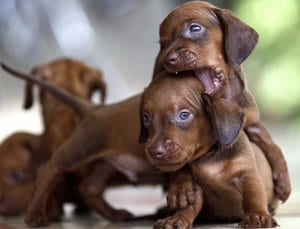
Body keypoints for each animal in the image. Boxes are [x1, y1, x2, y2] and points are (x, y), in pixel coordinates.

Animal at [1, 63, 168, 227]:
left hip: (105, 164)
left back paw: (114, 214)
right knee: (48, 171)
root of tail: (93, 109)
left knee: (89, 188)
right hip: (81, 149)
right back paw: (34, 216)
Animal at [140, 72, 278, 229]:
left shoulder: (247, 175)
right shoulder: (196, 187)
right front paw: (178, 218)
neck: (210, 155)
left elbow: (253, 196)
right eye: (145, 117)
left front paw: (257, 215)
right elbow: (190, 205)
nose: (155, 151)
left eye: (184, 115)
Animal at [152, 0, 290, 203]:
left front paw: (283, 179)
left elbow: (272, 144)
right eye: (163, 44)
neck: (225, 96)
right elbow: (179, 161)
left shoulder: (252, 123)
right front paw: (180, 186)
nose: (168, 60)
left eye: (195, 28)